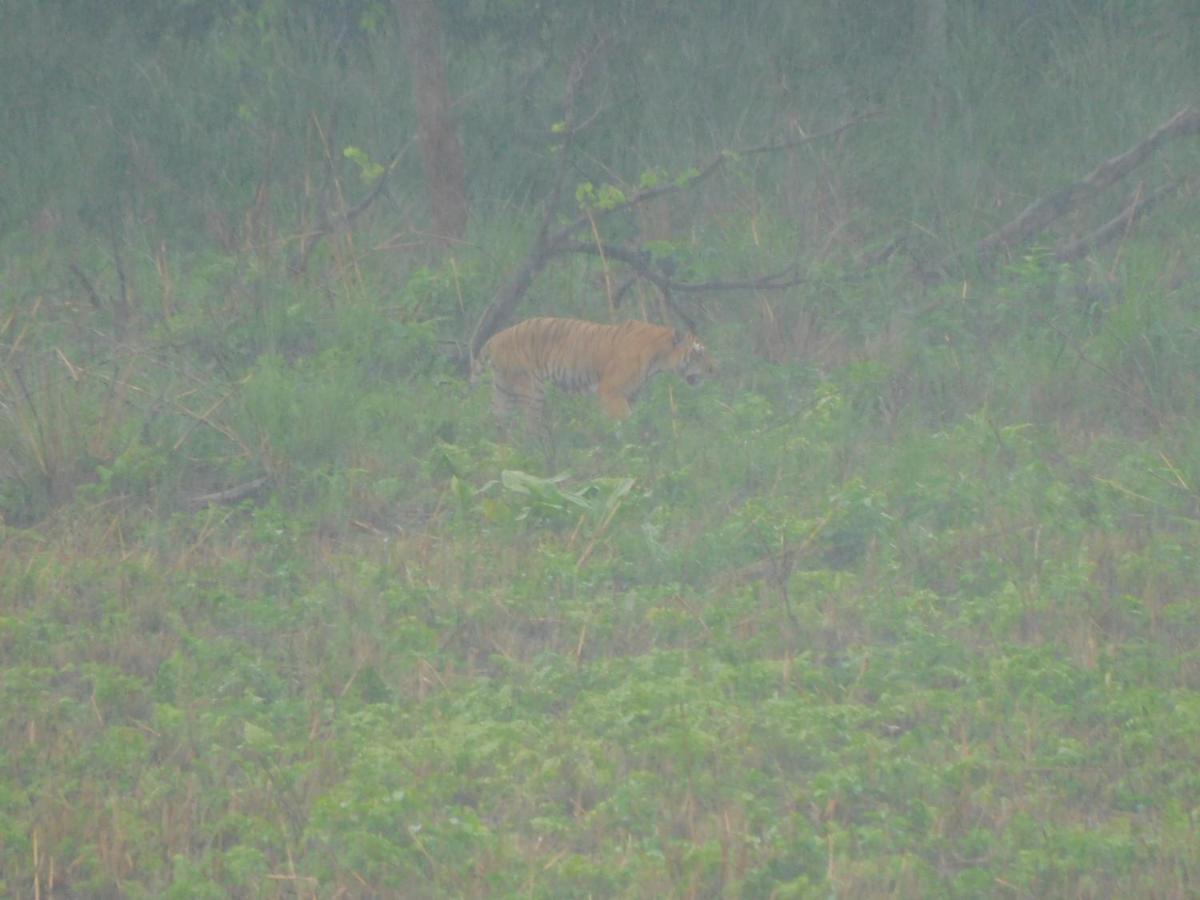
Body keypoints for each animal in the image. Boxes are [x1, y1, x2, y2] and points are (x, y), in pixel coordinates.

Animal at [468, 316, 710, 434]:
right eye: (698, 353)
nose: (714, 370)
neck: (658, 359)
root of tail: (495, 338)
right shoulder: (610, 392)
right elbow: (624, 421)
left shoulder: (629, 396)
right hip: (531, 391)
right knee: (529, 426)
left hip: (502, 391)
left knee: (494, 421)